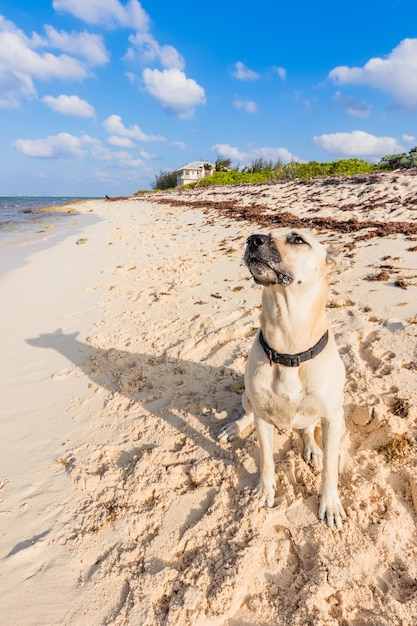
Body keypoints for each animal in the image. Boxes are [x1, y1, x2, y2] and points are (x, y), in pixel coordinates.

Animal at [219, 228, 346, 528]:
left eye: (298, 239)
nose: (253, 239)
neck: (289, 345)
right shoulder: (263, 417)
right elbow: (266, 459)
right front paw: (265, 491)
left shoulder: (334, 416)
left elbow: (331, 468)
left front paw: (331, 504)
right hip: (248, 398)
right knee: (247, 413)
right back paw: (234, 427)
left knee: (307, 428)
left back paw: (312, 449)